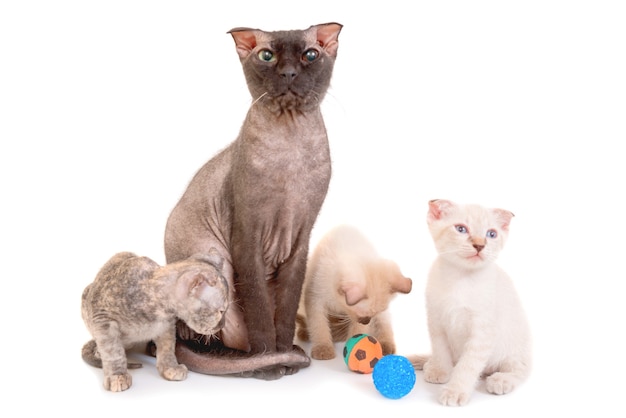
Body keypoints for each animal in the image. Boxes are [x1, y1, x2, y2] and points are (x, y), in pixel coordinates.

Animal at [162, 23, 342, 382]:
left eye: (310, 55)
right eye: (267, 56)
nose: (288, 72)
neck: (290, 150)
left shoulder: (300, 240)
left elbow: (285, 310)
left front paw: (285, 355)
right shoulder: (247, 237)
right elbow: (258, 309)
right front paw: (271, 360)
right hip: (217, 260)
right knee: (205, 335)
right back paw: (242, 361)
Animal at [296, 225, 412, 360]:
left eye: (370, 316)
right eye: (363, 316)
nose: (367, 321)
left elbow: (358, 331)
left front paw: (354, 345)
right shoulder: (315, 299)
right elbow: (319, 327)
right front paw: (323, 349)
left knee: (384, 325)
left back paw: (385, 346)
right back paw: (305, 333)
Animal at [408, 199, 528, 404]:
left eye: (491, 234)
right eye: (461, 229)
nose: (479, 245)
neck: (460, 278)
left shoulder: (482, 332)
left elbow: (468, 365)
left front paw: (455, 391)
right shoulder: (436, 321)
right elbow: (440, 350)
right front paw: (441, 371)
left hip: (513, 347)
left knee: (520, 369)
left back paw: (501, 380)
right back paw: (429, 363)